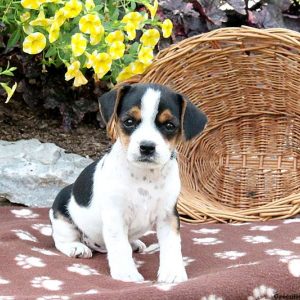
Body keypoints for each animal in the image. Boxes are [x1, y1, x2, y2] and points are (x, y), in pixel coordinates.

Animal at [49, 83, 207, 282]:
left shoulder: (168, 215)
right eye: (129, 121)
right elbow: (120, 247)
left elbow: (172, 245)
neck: (145, 176)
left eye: (170, 126)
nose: (147, 147)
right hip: (62, 214)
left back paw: (134, 243)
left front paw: (172, 273)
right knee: (62, 239)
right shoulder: (115, 216)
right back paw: (76, 247)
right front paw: (127, 273)